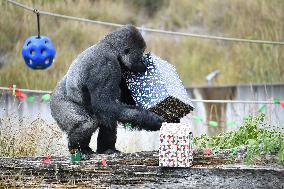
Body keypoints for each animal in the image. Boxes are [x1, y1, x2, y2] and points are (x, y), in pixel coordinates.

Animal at [50, 24, 163, 155]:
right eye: (141, 52)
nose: (143, 61)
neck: (110, 47)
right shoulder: (105, 65)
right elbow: (105, 104)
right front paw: (150, 118)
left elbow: (118, 103)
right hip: (59, 104)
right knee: (87, 123)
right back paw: (78, 149)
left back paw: (106, 149)